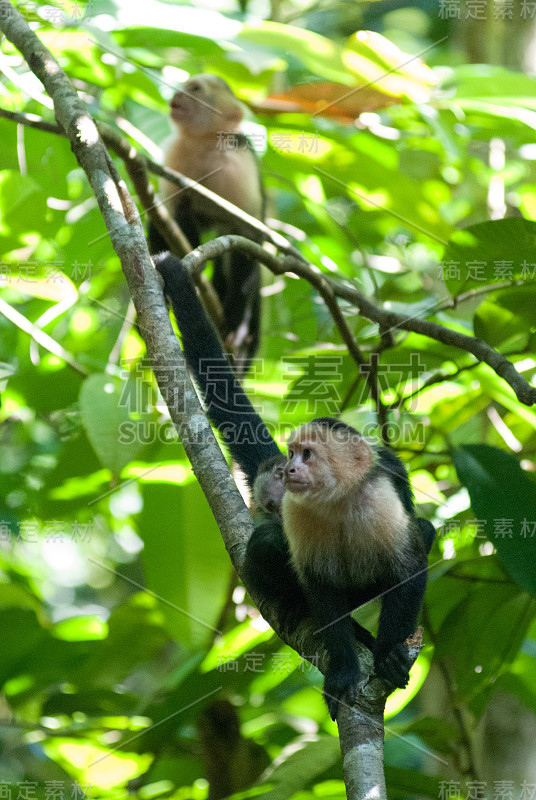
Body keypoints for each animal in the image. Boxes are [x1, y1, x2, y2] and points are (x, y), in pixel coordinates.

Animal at [148, 75, 264, 362]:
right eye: (185, 86)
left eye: (195, 89)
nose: (177, 94)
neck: (204, 143)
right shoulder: (176, 156)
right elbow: (172, 215)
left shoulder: (240, 161)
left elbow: (247, 234)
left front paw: (237, 318)